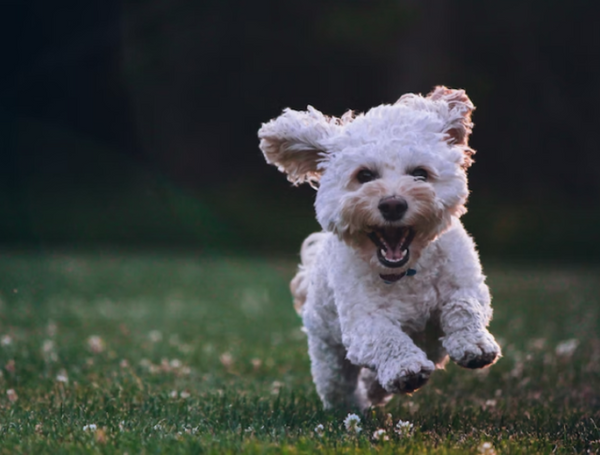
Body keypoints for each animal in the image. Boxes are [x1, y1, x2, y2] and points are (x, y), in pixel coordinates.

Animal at [258, 86, 502, 414]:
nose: (393, 204)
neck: (406, 272)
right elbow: (386, 337)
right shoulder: (362, 321)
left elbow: (464, 306)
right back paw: (355, 404)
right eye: (364, 175)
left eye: (420, 173)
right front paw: (405, 369)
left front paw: (474, 345)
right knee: (338, 383)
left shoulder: (465, 284)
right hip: (327, 350)